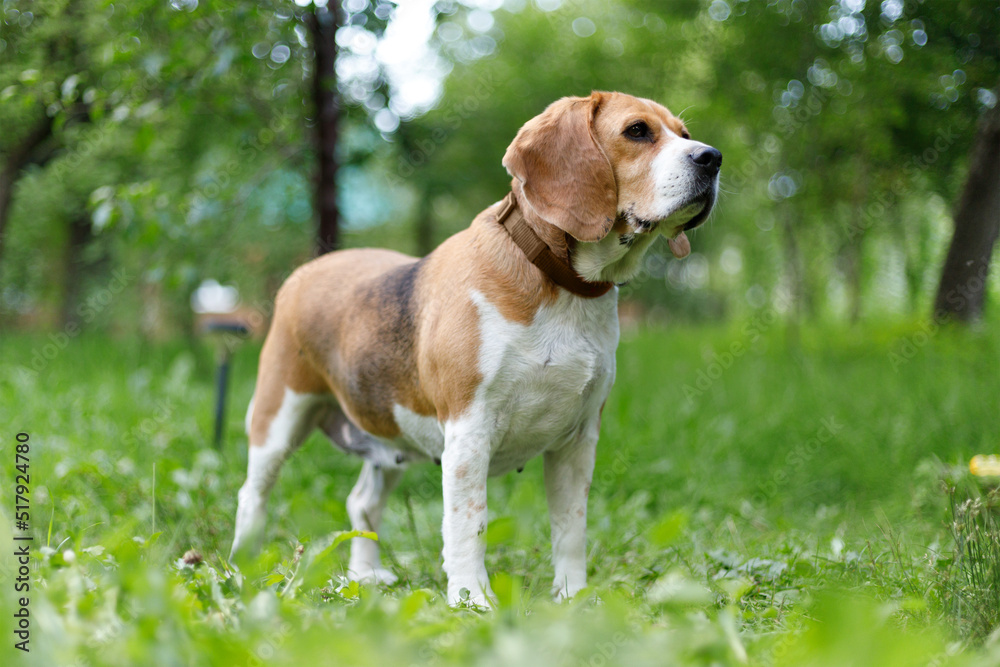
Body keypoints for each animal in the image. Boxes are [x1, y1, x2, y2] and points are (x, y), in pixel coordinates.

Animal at [231, 91, 724, 608]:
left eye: (685, 135)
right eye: (637, 131)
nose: (712, 158)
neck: (559, 283)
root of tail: (307, 270)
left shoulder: (578, 439)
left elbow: (570, 528)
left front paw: (573, 596)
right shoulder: (469, 432)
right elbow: (470, 523)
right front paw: (472, 600)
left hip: (390, 435)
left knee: (361, 502)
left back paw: (364, 576)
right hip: (277, 420)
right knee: (252, 496)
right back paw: (244, 571)